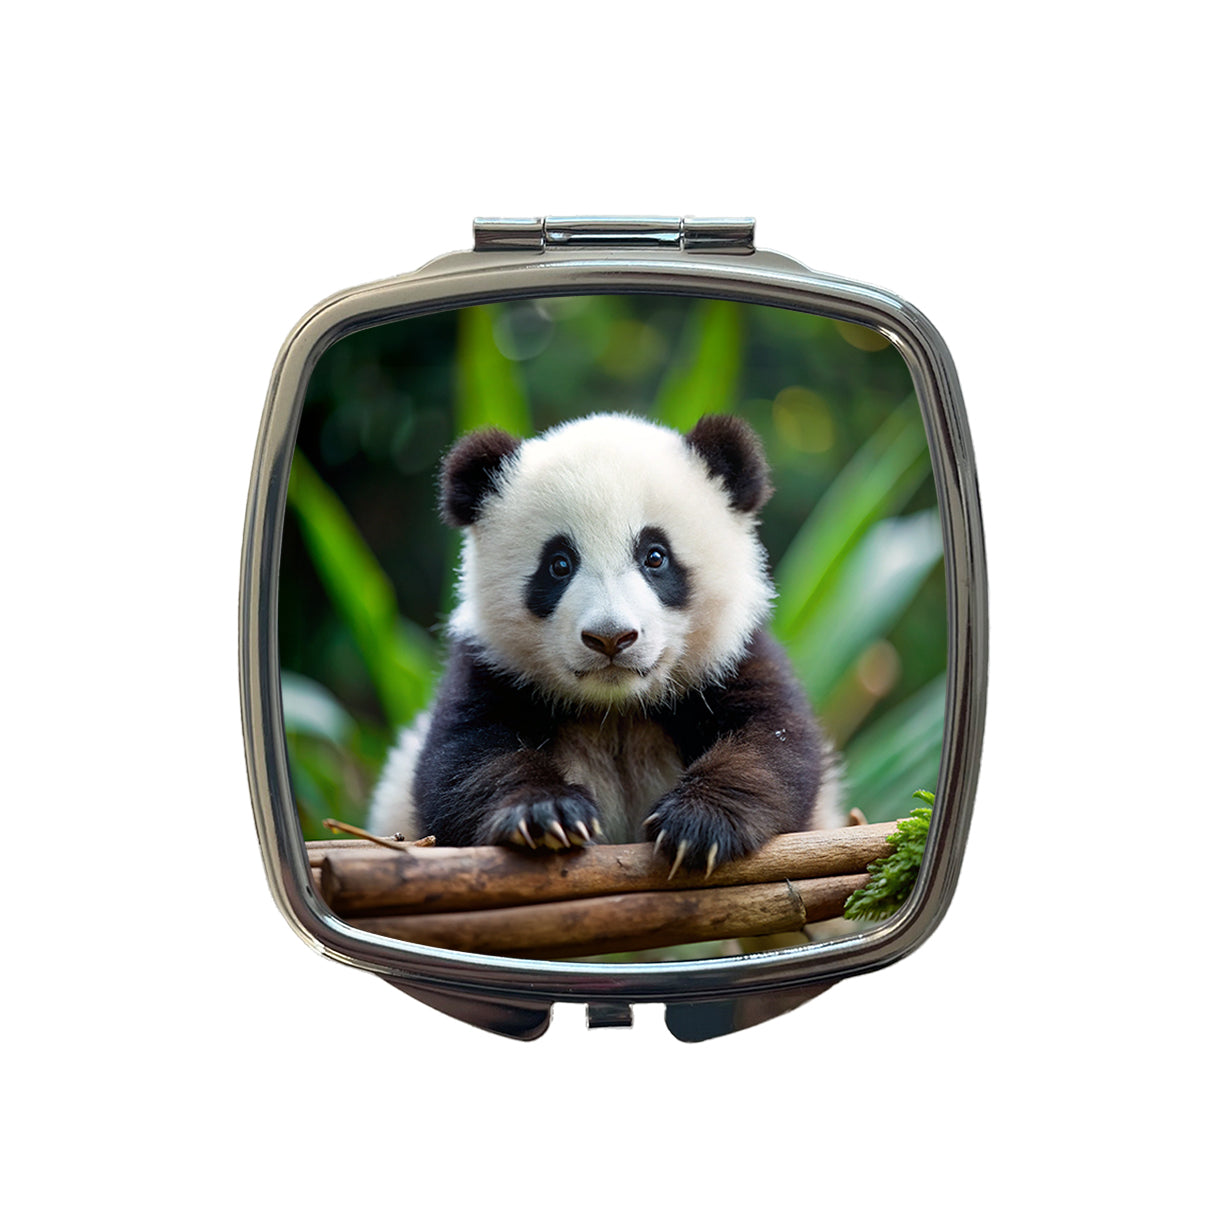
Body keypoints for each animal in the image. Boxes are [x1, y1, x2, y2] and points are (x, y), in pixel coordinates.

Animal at [367, 412, 843, 876]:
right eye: (559, 564)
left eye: (655, 556)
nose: (611, 637)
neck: (616, 709)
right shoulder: (492, 670)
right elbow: (465, 763)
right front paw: (547, 815)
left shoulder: (732, 657)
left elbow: (772, 744)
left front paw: (699, 824)